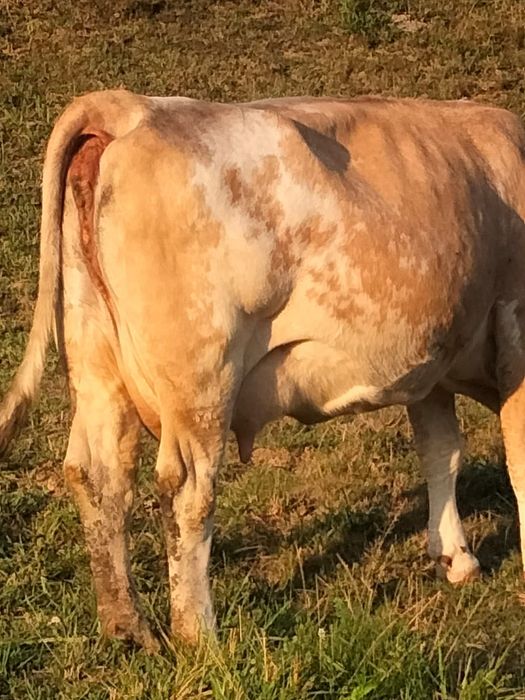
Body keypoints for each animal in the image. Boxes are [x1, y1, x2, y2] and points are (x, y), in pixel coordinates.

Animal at [1, 90, 525, 651]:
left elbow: (441, 451)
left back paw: (127, 628)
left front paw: (455, 557)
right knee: (187, 489)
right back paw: (198, 635)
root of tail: (135, 107)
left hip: (97, 364)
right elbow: (515, 461)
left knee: (98, 476)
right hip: (202, 375)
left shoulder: (424, 359)